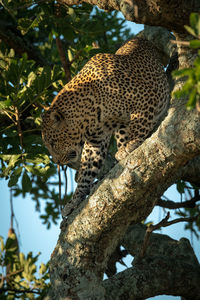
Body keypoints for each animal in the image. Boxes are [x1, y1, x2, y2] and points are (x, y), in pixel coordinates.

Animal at [41, 37, 170, 217]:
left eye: (53, 144)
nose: (56, 161)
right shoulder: (96, 139)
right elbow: (87, 169)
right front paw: (74, 201)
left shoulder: (150, 97)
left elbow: (139, 123)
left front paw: (132, 143)